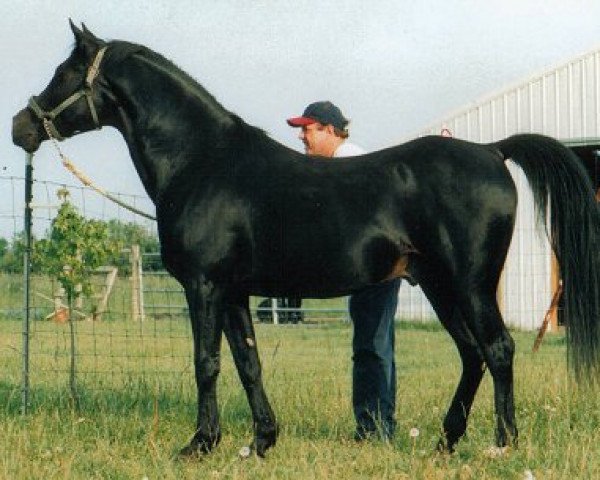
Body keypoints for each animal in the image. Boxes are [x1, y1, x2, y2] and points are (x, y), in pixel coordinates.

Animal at [10, 23, 600, 458]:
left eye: (64, 73)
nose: (22, 127)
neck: (203, 162)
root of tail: (492, 150)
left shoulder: (204, 286)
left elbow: (206, 362)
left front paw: (199, 444)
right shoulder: (235, 292)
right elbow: (248, 363)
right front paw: (261, 441)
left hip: (470, 284)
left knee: (498, 350)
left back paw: (502, 445)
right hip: (438, 285)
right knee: (472, 354)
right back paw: (444, 443)